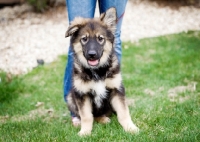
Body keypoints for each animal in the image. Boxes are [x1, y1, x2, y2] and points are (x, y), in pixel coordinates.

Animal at [65, 7, 138, 136]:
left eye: (100, 38)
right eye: (84, 39)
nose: (92, 55)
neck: (97, 72)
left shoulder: (117, 89)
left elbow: (123, 112)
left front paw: (130, 128)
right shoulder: (82, 94)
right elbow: (86, 116)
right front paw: (85, 132)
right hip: (70, 97)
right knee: (92, 116)